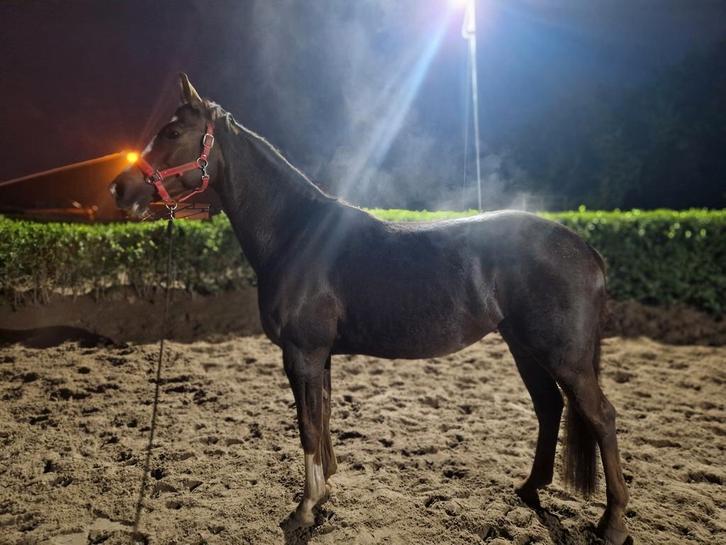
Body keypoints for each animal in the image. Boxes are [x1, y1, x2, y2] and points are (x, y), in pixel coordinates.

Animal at [110, 74, 630, 544]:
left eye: (173, 133)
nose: (120, 189)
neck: (297, 234)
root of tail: (586, 250)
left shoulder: (301, 353)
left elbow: (307, 425)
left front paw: (304, 508)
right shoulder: (320, 356)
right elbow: (322, 419)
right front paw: (324, 492)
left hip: (565, 356)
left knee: (601, 416)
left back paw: (613, 523)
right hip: (525, 346)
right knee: (549, 407)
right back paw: (529, 489)